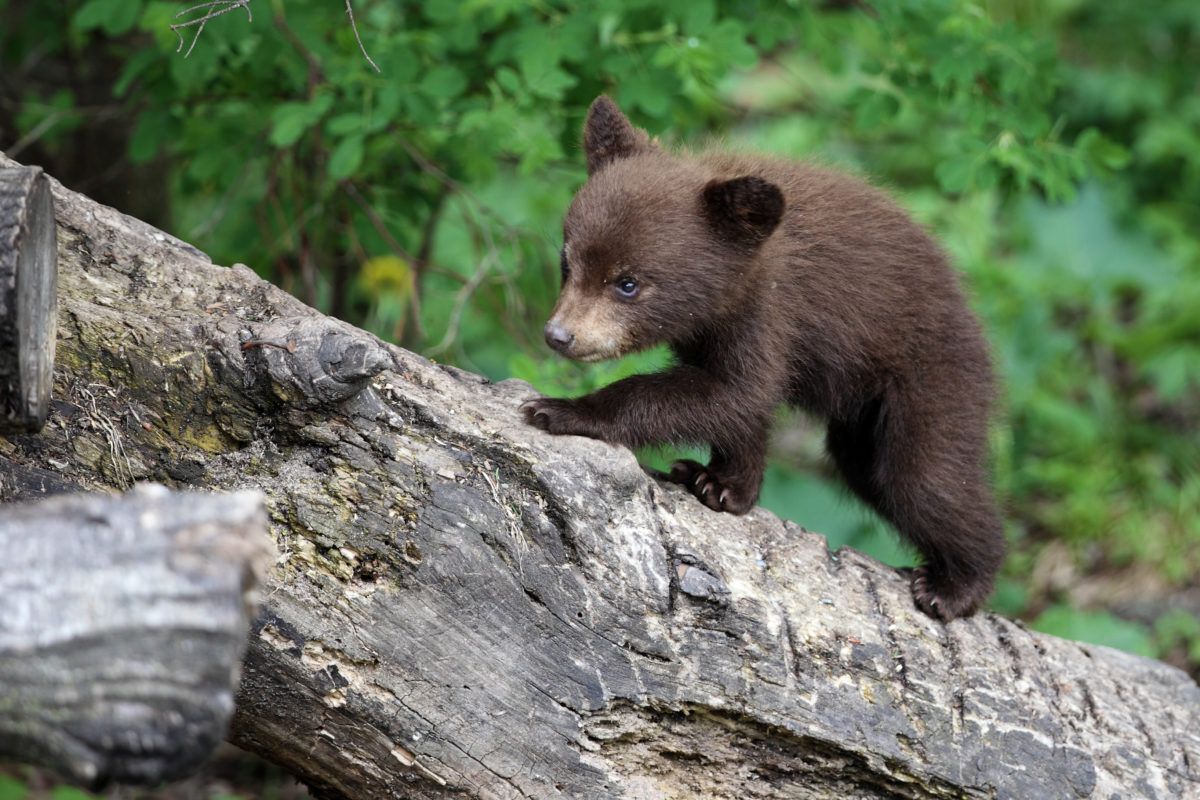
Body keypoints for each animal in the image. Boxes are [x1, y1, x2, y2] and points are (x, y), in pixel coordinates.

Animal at [521, 95, 1004, 621]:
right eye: (567, 261)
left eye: (627, 283)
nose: (559, 334)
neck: (727, 292)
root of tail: (975, 319)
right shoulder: (713, 332)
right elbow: (737, 405)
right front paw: (721, 483)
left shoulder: (771, 312)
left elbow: (736, 392)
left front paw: (561, 409)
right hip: (865, 419)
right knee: (867, 468)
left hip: (931, 376)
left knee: (923, 478)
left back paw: (954, 586)